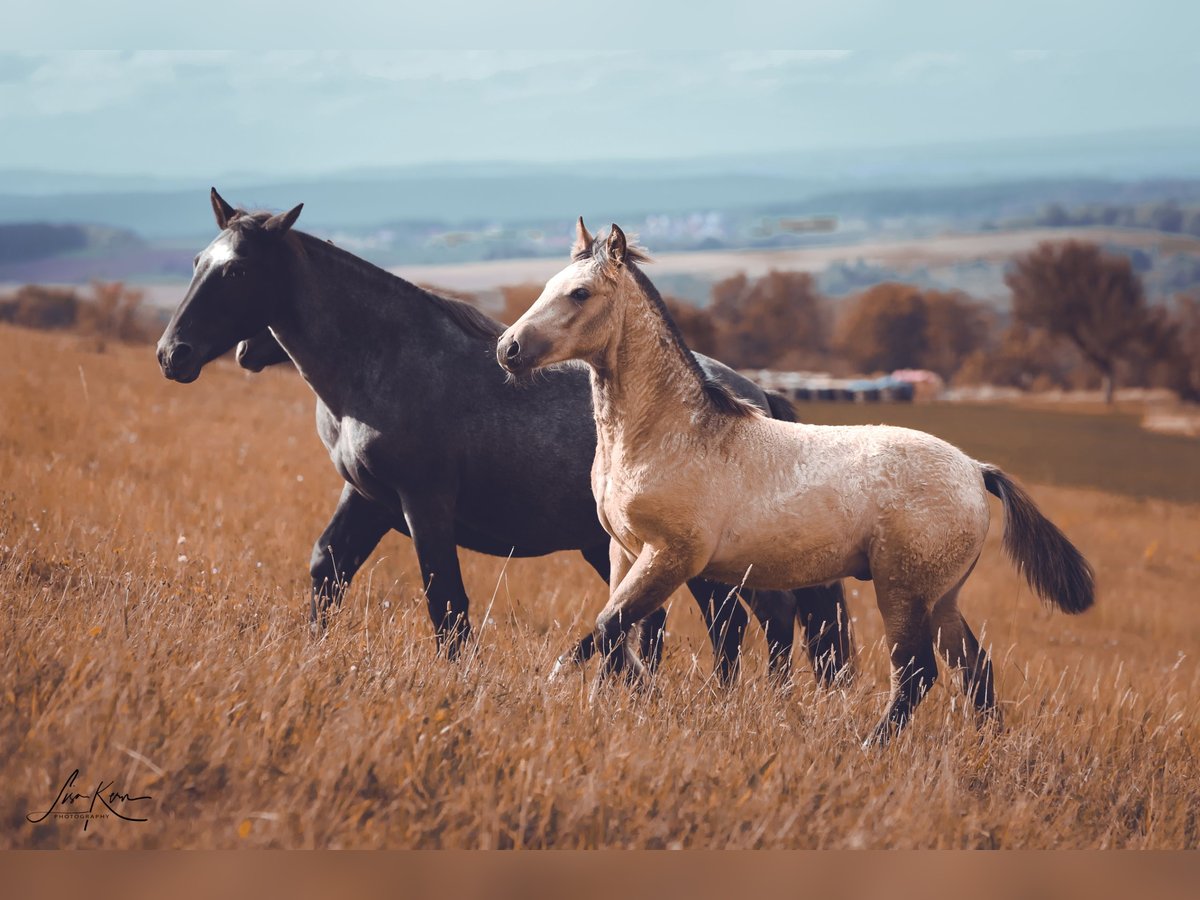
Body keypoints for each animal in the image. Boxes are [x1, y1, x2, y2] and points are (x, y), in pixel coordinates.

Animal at [157, 188, 854, 681]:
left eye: (237, 273)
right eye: (194, 262)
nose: (173, 353)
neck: (381, 361)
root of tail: (758, 396)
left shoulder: (424, 504)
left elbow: (446, 603)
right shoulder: (370, 499)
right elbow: (328, 570)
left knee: (749, 624)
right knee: (719, 626)